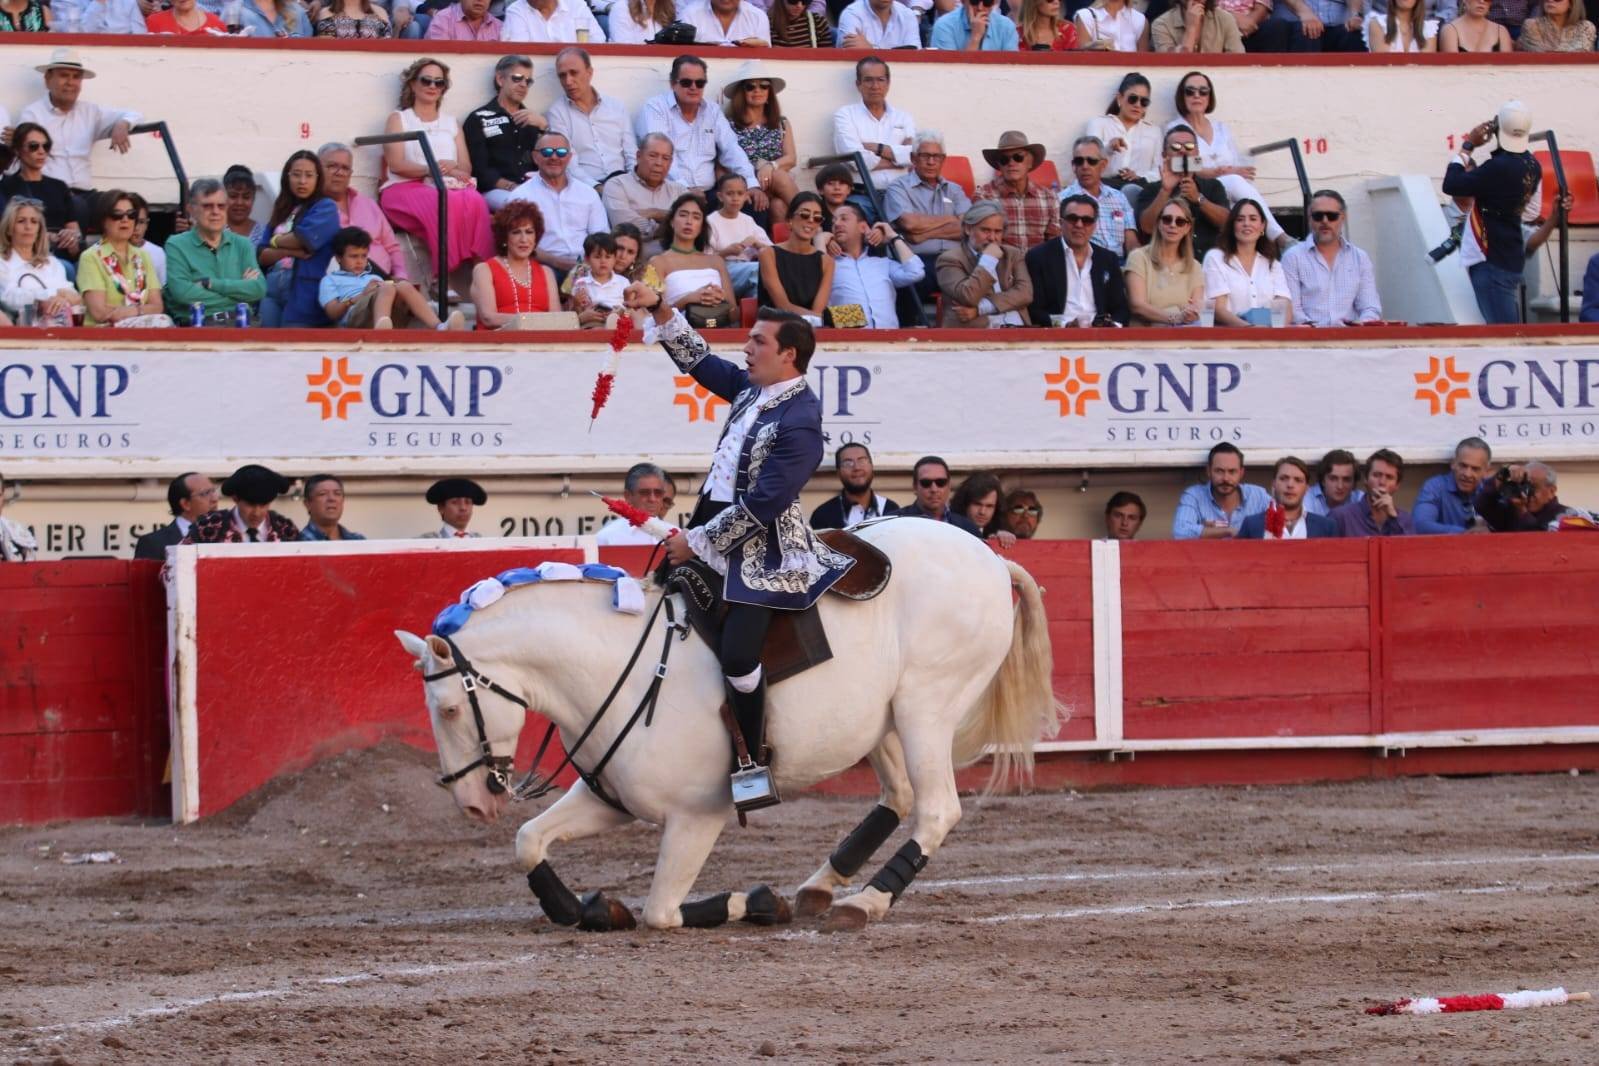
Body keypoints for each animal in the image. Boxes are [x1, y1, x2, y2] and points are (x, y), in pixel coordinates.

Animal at [393, 517, 1055, 933]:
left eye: (449, 708)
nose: (473, 804)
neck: (618, 665)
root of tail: (991, 557)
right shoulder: (610, 799)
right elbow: (529, 840)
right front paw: (582, 907)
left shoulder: (696, 818)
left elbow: (661, 910)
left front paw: (756, 902)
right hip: (884, 724)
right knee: (900, 796)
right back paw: (821, 887)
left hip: (926, 708)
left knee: (937, 808)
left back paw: (863, 903)